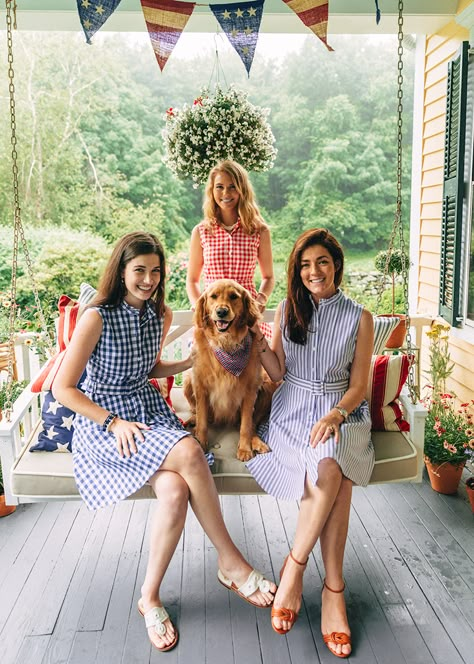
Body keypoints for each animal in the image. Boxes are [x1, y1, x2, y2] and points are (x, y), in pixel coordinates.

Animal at [184, 278, 276, 462]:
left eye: (234, 296)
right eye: (213, 296)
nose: (221, 312)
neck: (225, 343)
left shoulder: (250, 390)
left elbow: (246, 424)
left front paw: (245, 448)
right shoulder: (200, 385)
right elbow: (203, 421)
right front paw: (201, 442)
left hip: (268, 385)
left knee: (252, 424)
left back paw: (257, 442)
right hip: (187, 381)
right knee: (200, 413)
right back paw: (193, 420)